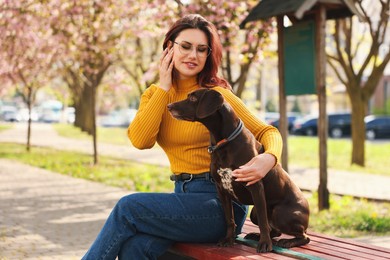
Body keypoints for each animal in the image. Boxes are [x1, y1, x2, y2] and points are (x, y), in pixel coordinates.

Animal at [166, 88, 310, 253]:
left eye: (193, 98)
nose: (169, 106)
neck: (224, 142)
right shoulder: (222, 189)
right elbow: (230, 219)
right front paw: (228, 239)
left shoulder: (255, 186)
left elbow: (263, 221)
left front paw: (265, 244)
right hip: (255, 213)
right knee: (274, 230)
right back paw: (256, 235)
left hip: (279, 212)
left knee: (303, 236)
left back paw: (286, 241)